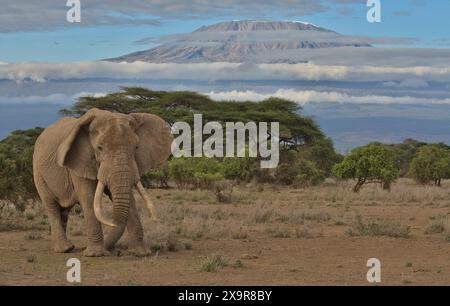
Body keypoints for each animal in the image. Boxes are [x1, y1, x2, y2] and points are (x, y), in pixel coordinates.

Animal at [32, 107, 173, 256]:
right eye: (99, 148)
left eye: (136, 147)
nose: (115, 251)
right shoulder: (79, 161)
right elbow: (88, 198)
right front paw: (96, 254)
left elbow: (129, 199)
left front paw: (141, 253)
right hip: (38, 172)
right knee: (51, 205)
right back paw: (64, 249)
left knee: (64, 211)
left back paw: (65, 247)